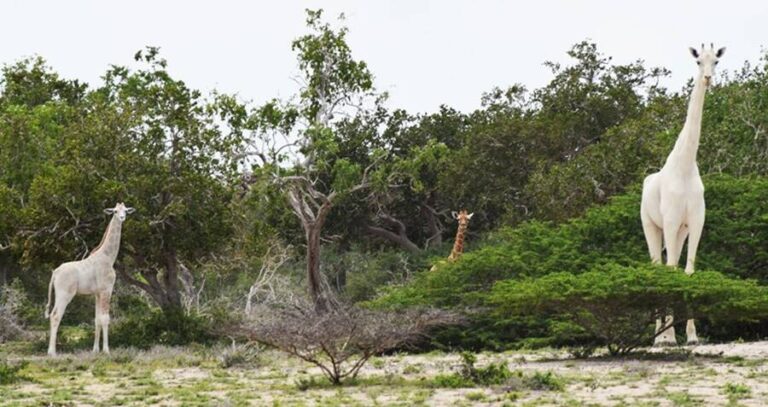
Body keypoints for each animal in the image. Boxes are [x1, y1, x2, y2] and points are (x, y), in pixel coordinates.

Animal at [45, 203, 135, 355]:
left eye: (125, 211)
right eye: (115, 211)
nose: (122, 217)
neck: (109, 257)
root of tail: (55, 273)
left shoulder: (97, 293)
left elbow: (97, 319)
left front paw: (95, 350)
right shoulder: (106, 290)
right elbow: (105, 318)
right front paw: (106, 351)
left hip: (59, 294)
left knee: (52, 314)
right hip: (65, 294)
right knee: (56, 315)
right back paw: (52, 353)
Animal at [640, 44, 725, 346]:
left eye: (716, 61)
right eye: (698, 61)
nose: (708, 78)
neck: (686, 165)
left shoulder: (695, 222)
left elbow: (687, 271)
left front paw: (691, 335)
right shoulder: (670, 220)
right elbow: (669, 271)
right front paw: (666, 337)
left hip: (679, 231)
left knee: (671, 265)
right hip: (652, 225)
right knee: (658, 266)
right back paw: (659, 336)